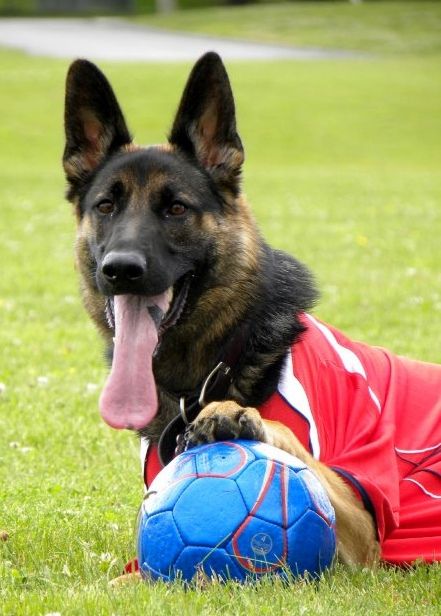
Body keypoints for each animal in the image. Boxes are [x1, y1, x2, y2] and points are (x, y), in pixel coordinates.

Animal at [62, 51, 440, 568]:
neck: (215, 362)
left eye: (176, 209)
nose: (121, 269)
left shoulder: (364, 525)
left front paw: (236, 414)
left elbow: (288, 437)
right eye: (105, 206)